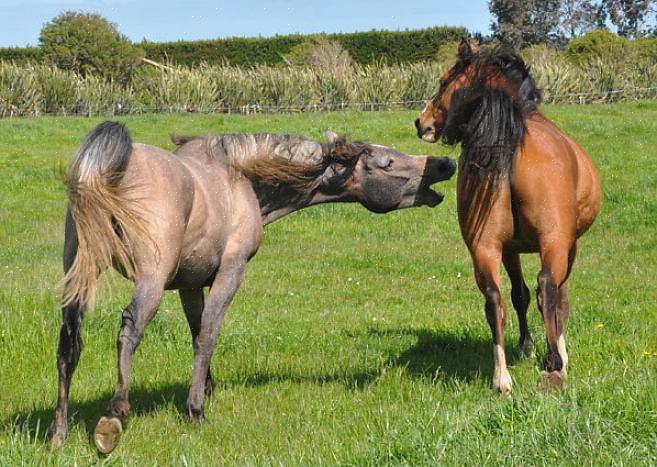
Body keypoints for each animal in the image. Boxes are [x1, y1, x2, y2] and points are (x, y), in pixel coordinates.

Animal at [48, 121, 456, 454]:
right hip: (150, 277)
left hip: (79, 278)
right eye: (386, 163)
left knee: (69, 346)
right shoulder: (231, 271)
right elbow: (209, 333)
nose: (444, 164)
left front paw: (205, 390)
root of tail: (106, 171)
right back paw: (114, 417)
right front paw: (196, 409)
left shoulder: (189, 283)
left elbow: (197, 332)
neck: (240, 178)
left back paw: (59, 431)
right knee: (129, 329)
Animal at [416, 41, 600, 394]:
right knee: (547, 289)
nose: (422, 122)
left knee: (494, 300)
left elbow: (518, 295)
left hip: (485, 247)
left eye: (445, 81)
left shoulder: (510, 248)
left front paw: (526, 345)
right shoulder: (570, 244)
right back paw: (555, 365)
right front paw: (559, 351)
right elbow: (557, 298)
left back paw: (501, 378)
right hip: (554, 242)